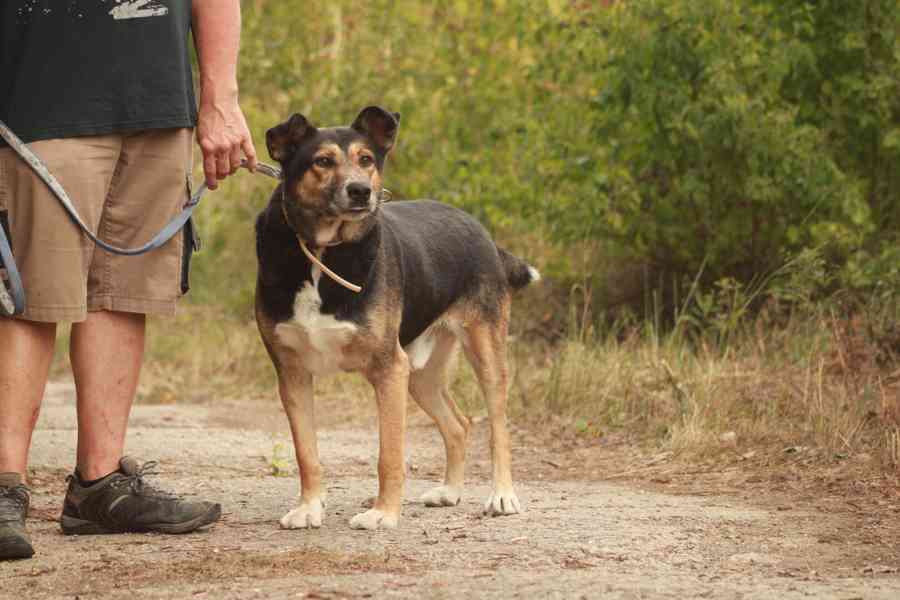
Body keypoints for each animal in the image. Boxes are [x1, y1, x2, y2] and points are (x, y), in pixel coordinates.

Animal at [253, 106, 536, 528]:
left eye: (366, 159)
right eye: (322, 161)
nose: (360, 191)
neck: (323, 251)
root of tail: (480, 230)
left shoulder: (388, 369)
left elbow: (389, 455)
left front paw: (383, 513)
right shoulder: (293, 374)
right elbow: (307, 453)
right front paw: (309, 507)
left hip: (481, 352)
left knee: (497, 427)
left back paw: (502, 496)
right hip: (419, 373)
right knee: (459, 425)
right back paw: (450, 491)